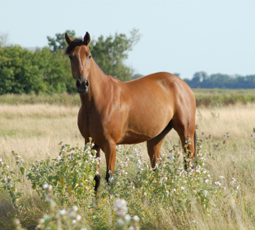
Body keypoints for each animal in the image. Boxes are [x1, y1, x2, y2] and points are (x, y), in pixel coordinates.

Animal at [64, 31, 196, 191]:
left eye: (89, 55)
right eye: (71, 56)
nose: (82, 84)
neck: (99, 101)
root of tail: (183, 85)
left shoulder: (110, 145)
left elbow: (110, 178)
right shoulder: (91, 143)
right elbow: (96, 179)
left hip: (186, 133)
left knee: (189, 166)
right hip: (156, 138)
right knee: (157, 169)